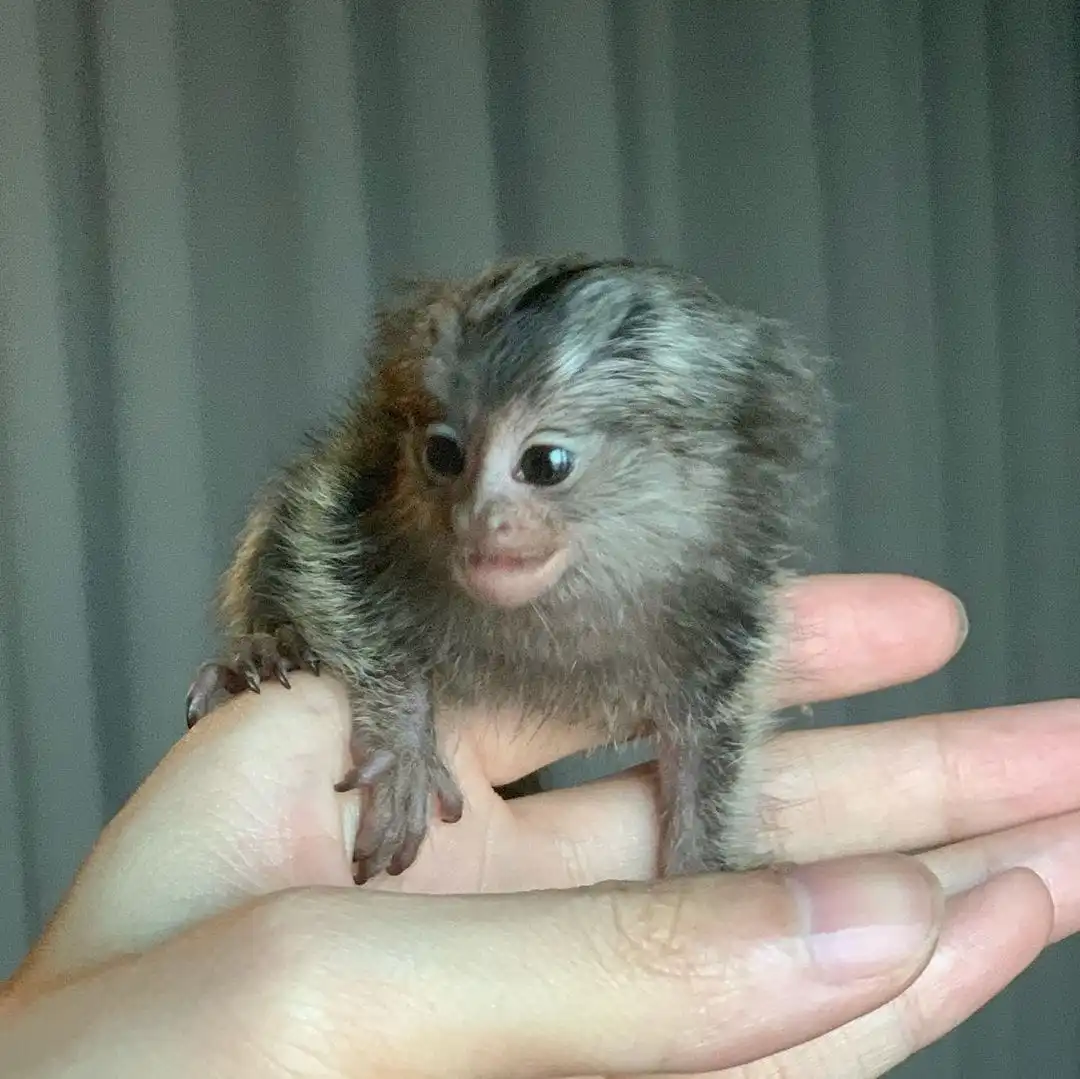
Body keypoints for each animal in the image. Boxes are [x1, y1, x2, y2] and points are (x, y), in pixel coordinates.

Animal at [185, 254, 829, 884]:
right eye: (444, 454)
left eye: (545, 464)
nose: (477, 518)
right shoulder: (356, 495)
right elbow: (324, 551)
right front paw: (405, 736)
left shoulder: (731, 615)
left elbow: (714, 741)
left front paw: (699, 864)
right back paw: (263, 653)